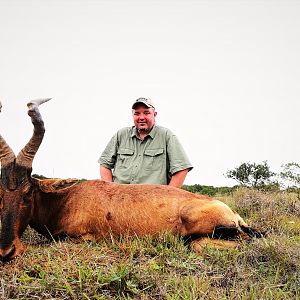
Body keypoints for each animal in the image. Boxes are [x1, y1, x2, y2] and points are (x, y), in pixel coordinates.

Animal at [0, 100, 262, 260]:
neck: (68, 198)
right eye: (0, 193)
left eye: (27, 191)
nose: (6, 251)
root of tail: (232, 212)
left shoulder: (83, 239)